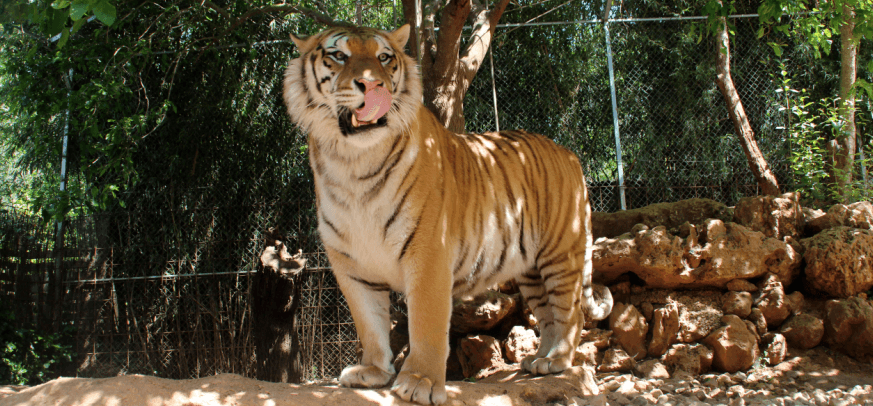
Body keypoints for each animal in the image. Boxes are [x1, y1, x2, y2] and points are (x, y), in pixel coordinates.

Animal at [282, 24, 613, 405]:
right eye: (339, 55)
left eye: (384, 57)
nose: (374, 84)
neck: (353, 163)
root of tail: (568, 153)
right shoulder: (350, 265)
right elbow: (369, 323)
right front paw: (374, 371)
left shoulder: (429, 253)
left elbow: (426, 322)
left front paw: (420, 382)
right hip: (530, 270)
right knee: (547, 315)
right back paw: (539, 360)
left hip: (560, 254)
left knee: (570, 313)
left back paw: (557, 360)